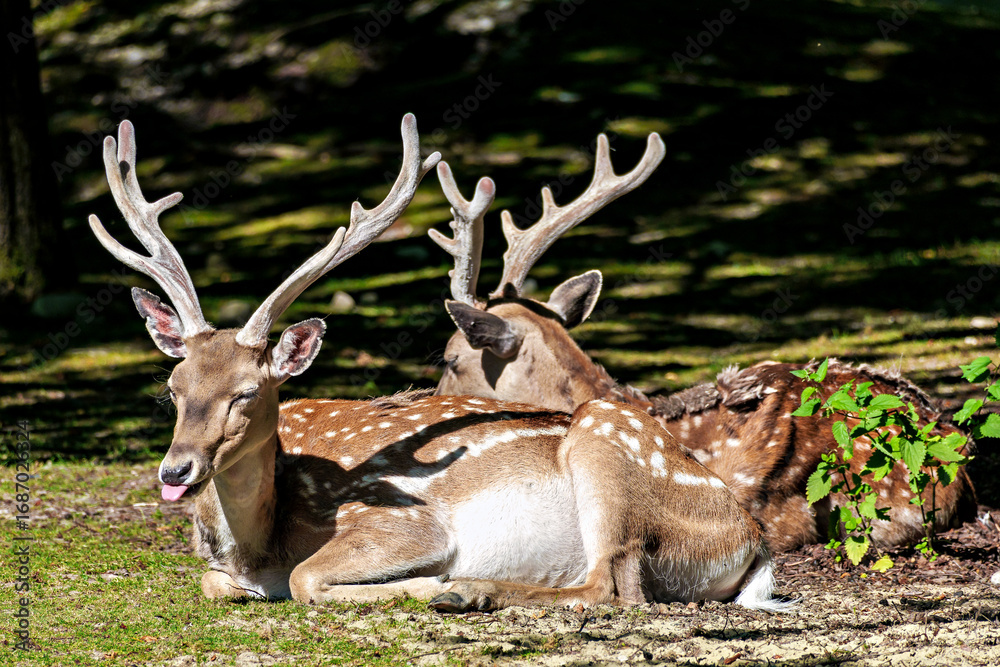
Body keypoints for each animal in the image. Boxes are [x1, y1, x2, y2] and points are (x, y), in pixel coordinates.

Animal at [87, 117, 793, 613]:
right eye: (172, 388)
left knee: (614, 585)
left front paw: (426, 583)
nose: (176, 470)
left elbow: (308, 576)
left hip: (606, 449)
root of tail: (751, 540)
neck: (258, 544)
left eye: (248, 393)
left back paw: (467, 589)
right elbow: (214, 583)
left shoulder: (404, 522)